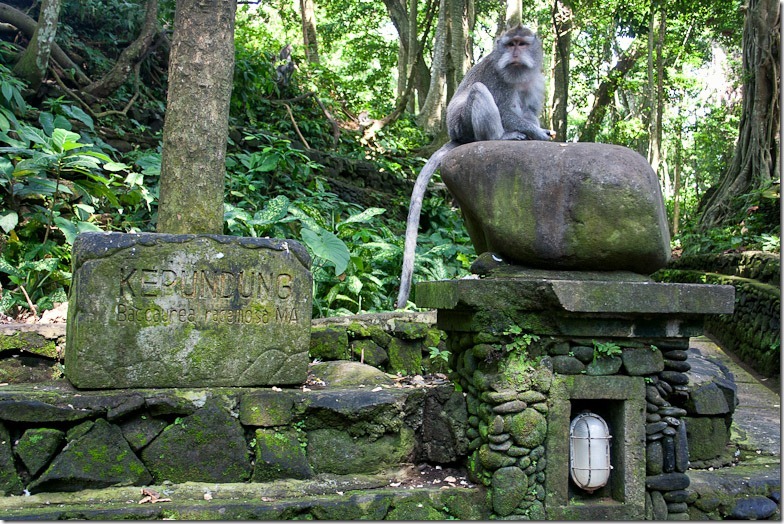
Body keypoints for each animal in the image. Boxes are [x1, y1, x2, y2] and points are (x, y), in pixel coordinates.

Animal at [396, 25, 556, 308]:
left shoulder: (537, 81)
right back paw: (500, 137)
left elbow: (529, 110)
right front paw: (538, 133)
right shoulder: (498, 76)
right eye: (510, 44)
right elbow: (506, 109)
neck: (519, 75)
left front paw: (540, 130)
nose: (515, 53)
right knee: (480, 91)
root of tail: (455, 136)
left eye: (522, 44)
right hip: (464, 126)